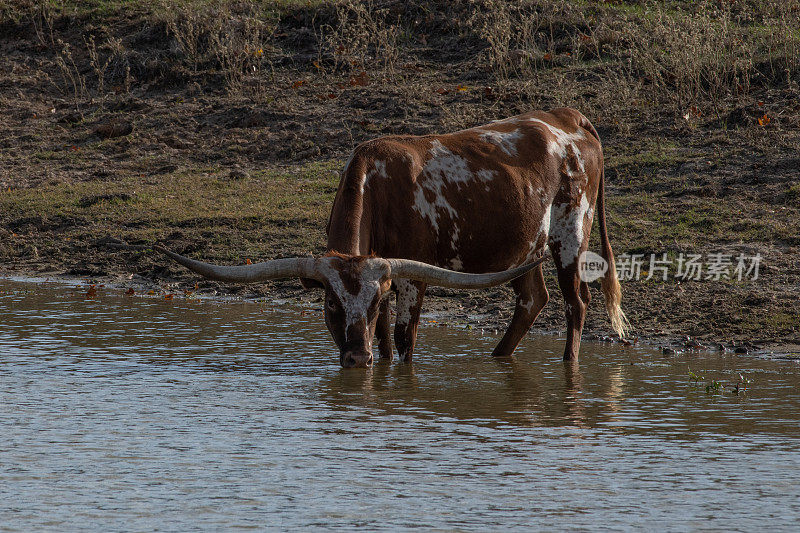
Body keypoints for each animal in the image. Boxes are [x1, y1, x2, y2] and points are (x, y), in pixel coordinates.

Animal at [156, 107, 628, 366]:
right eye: (331, 304)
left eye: (369, 302)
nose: (354, 358)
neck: (377, 187)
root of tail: (568, 118)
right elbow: (383, 340)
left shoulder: (410, 279)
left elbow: (403, 341)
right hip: (525, 247)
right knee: (533, 299)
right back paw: (498, 358)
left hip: (570, 234)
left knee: (575, 303)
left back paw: (568, 365)